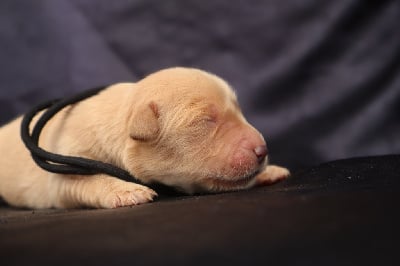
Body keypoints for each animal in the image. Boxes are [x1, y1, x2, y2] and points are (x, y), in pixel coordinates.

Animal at [0, 67, 290, 209]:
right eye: (205, 121)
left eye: (239, 111)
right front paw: (126, 190)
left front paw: (269, 171)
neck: (124, 114)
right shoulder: (66, 168)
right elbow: (91, 181)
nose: (262, 149)